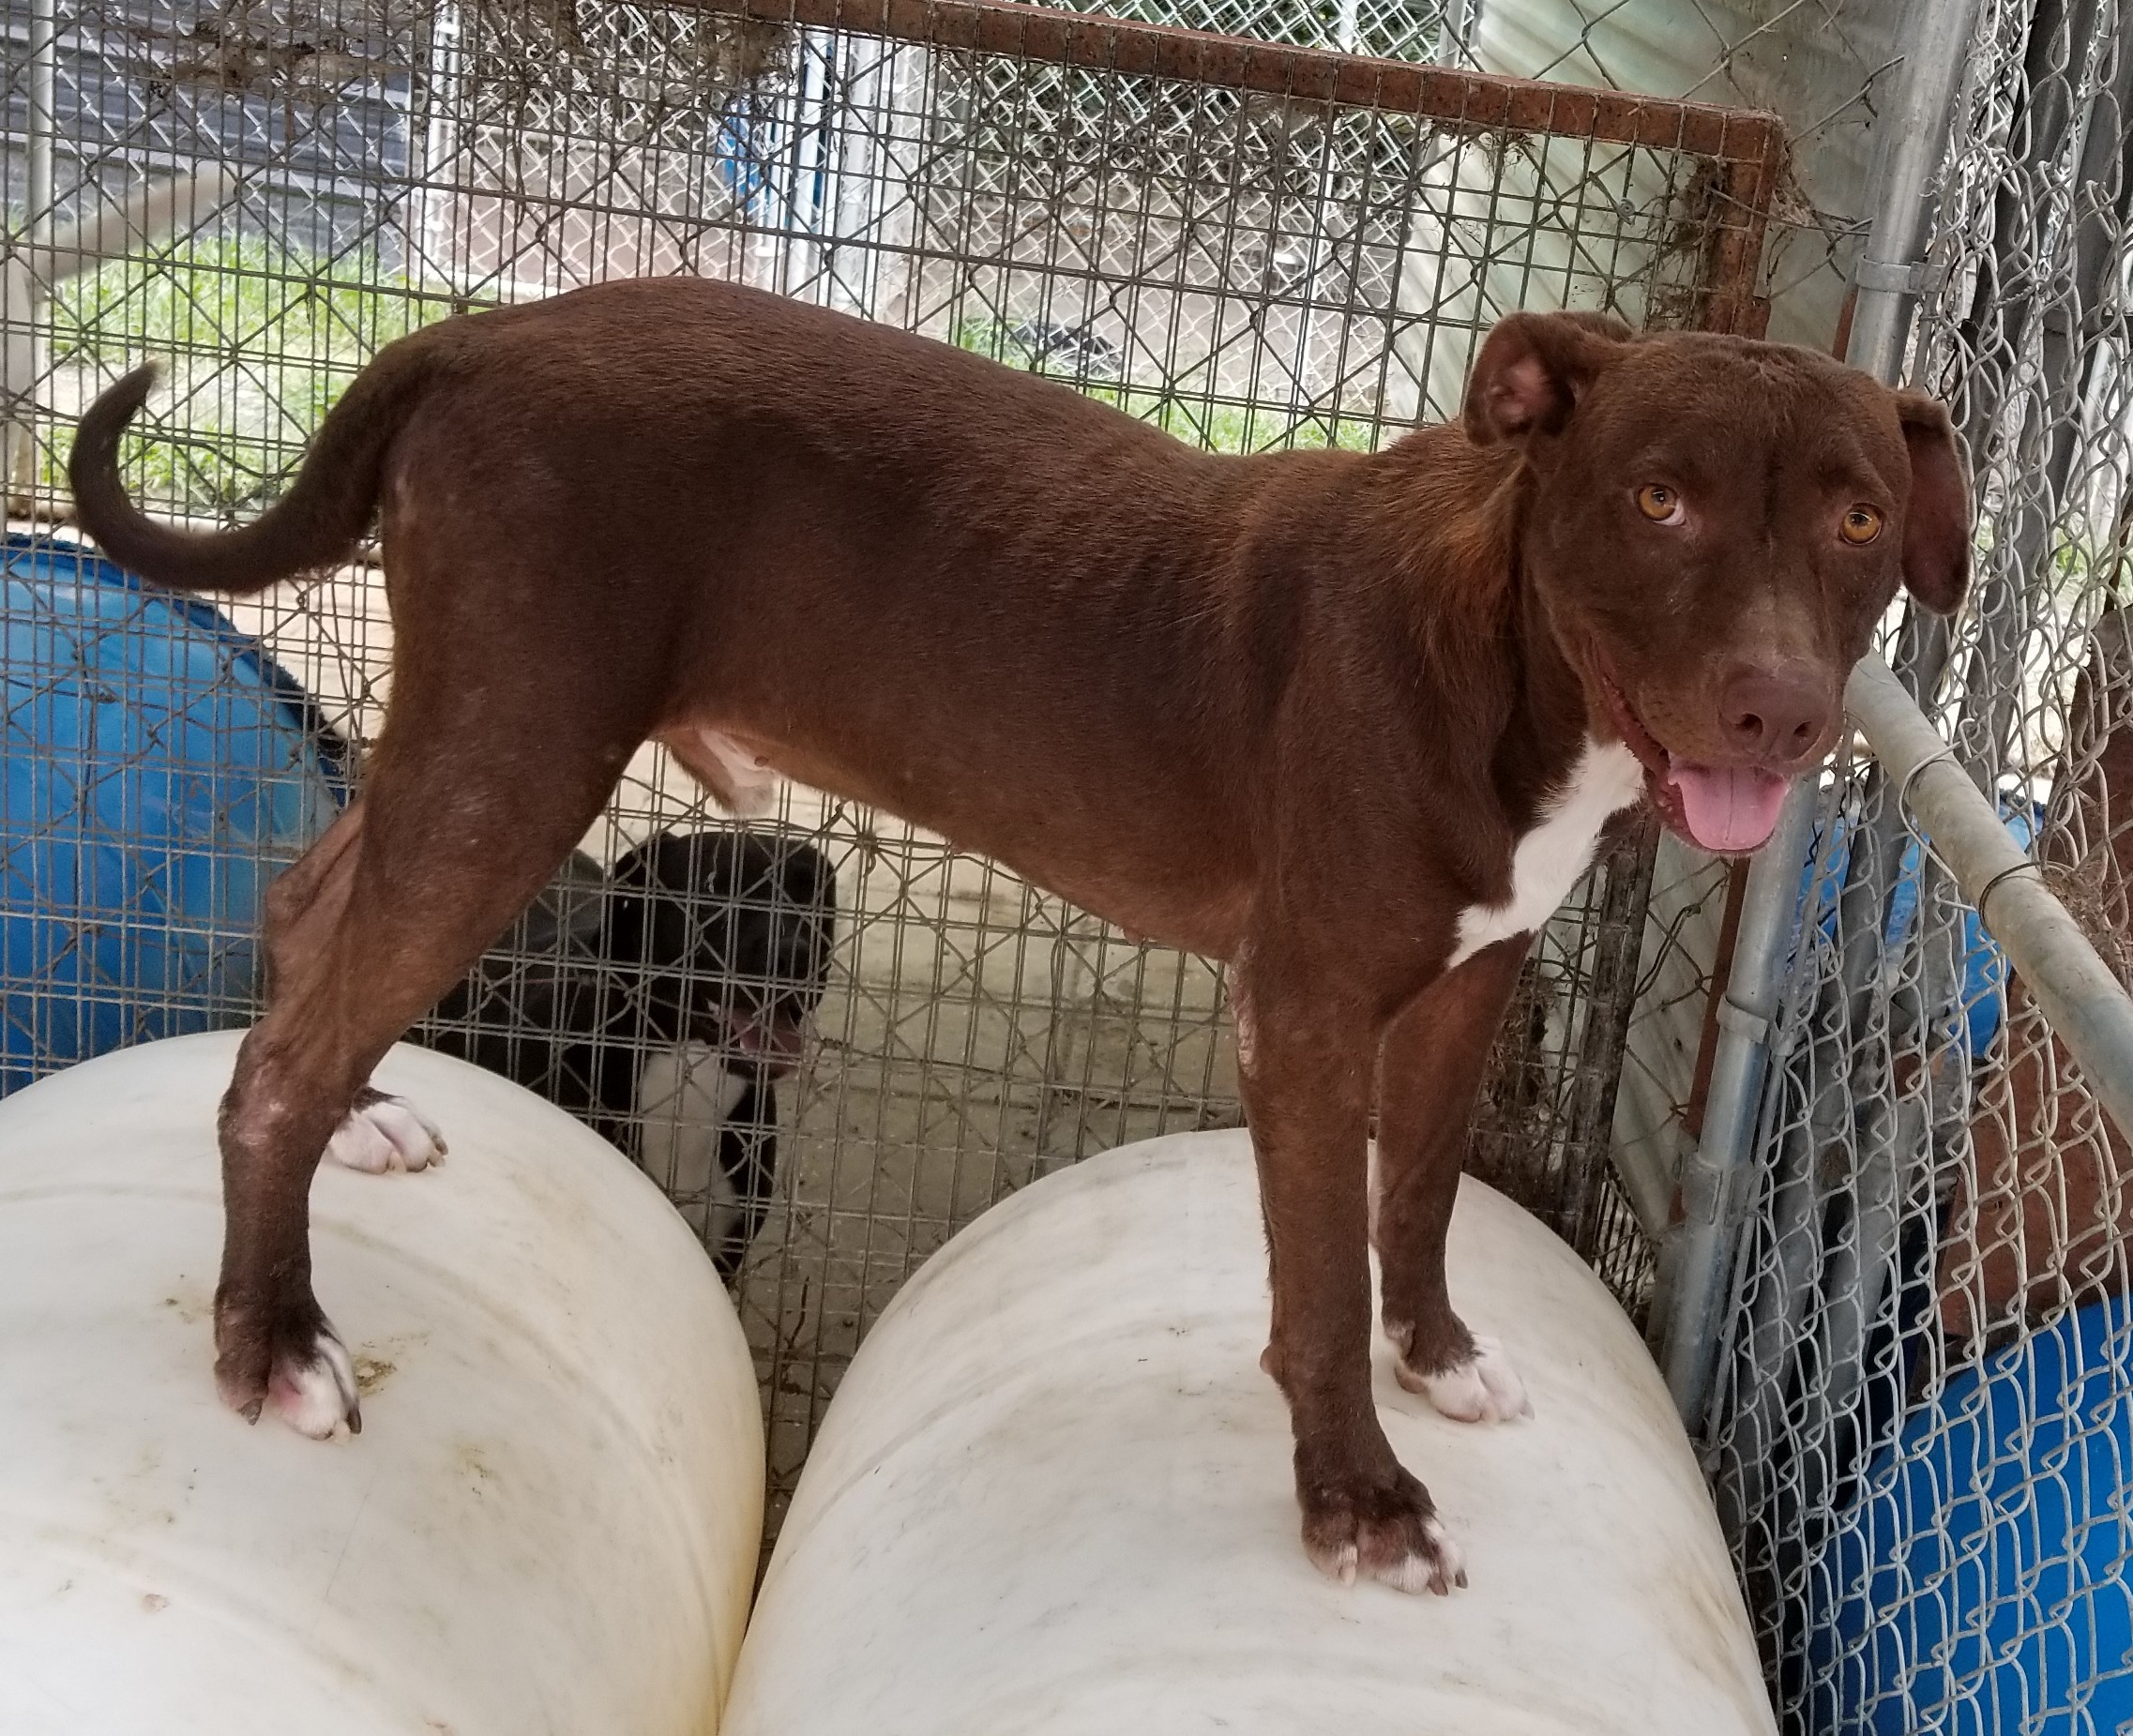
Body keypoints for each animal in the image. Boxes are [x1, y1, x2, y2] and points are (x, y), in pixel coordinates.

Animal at [67, 279, 1962, 1594]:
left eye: (1857, 517)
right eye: (1656, 500)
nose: (1778, 713)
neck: (1498, 652)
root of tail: (481, 334)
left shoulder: (1468, 981)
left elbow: (1414, 1202)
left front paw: (1435, 1357)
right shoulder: (1307, 1011)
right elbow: (1315, 1285)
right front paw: (1356, 1502)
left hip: (469, 751)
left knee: (308, 911)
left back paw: (365, 1121)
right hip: (515, 752)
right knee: (282, 1056)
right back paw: (269, 1339)